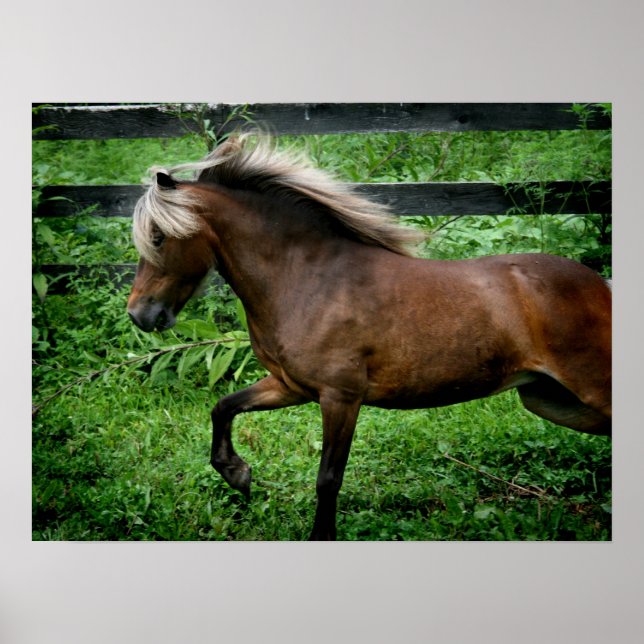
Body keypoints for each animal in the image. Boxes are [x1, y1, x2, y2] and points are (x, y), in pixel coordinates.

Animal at [127, 132, 612, 540]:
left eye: (158, 236)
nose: (140, 314)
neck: (306, 279)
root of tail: (600, 287)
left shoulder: (341, 397)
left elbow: (328, 478)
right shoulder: (290, 386)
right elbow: (223, 407)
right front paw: (238, 474)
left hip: (587, 391)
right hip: (548, 399)